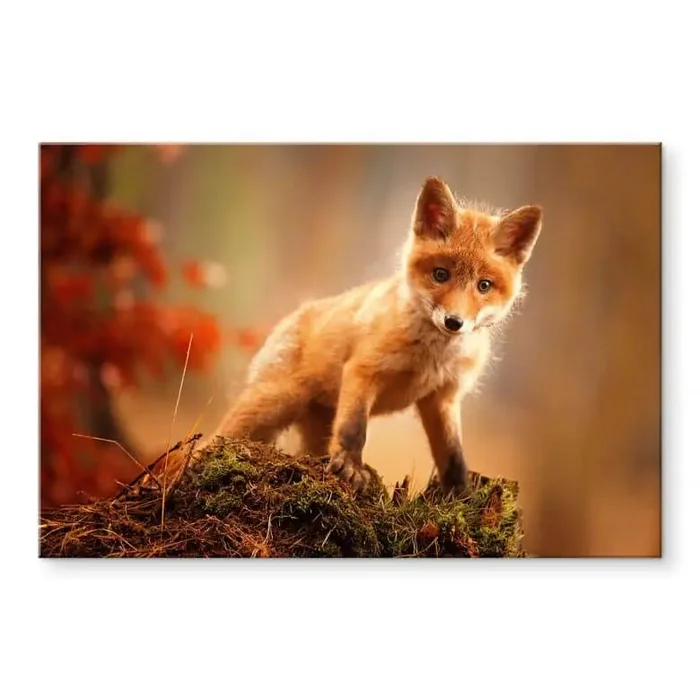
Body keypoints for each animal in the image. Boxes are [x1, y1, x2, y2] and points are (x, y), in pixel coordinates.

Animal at [175, 176, 543, 497]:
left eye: (484, 285)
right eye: (441, 275)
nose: (454, 322)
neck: (431, 356)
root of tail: (293, 315)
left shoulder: (443, 397)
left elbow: (453, 456)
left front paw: (460, 495)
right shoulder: (364, 370)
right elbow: (355, 429)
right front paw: (352, 468)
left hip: (314, 425)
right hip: (272, 404)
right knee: (214, 440)